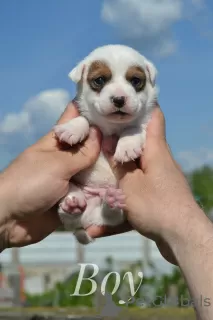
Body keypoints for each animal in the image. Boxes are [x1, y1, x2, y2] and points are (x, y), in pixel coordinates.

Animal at [54, 44, 159, 245]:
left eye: (135, 81)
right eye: (100, 80)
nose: (119, 99)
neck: (112, 126)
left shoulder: (143, 124)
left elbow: (133, 128)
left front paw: (127, 147)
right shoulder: (89, 118)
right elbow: (85, 120)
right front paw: (72, 129)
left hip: (120, 213)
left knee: (112, 215)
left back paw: (110, 201)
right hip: (71, 191)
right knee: (68, 213)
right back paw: (73, 203)